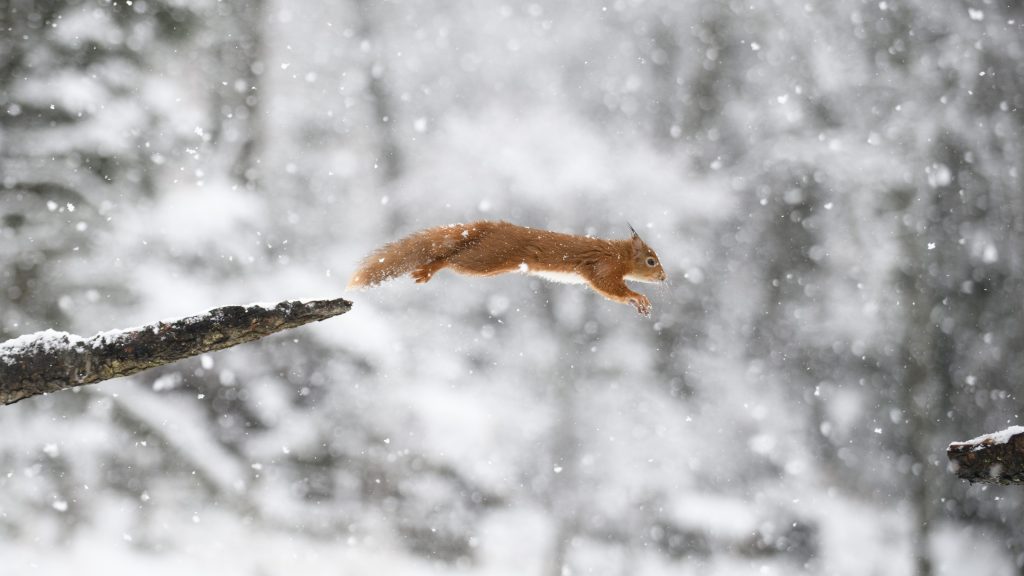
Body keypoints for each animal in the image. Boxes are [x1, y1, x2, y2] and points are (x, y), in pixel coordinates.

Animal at [347, 220, 667, 316]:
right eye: (651, 260)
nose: (664, 277)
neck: (620, 254)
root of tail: (489, 227)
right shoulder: (603, 267)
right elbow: (609, 287)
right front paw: (639, 298)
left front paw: (640, 302)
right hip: (486, 259)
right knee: (450, 258)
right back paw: (429, 269)